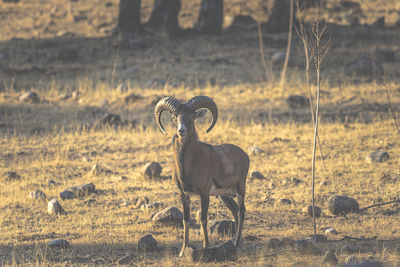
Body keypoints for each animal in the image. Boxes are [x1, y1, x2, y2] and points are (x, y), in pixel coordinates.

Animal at [155, 96, 248, 258]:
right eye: (175, 117)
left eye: (191, 117)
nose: (181, 131)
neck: (188, 165)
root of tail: (245, 155)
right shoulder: (184, 195)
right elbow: (186, 221)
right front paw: (182, 251)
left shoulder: (204, 194)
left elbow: (203, 219)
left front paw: (206, 247)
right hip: (225, 196)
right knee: (235, 212)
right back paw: (235, 242)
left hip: (240, 189)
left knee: (241, 212)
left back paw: (237, 245)